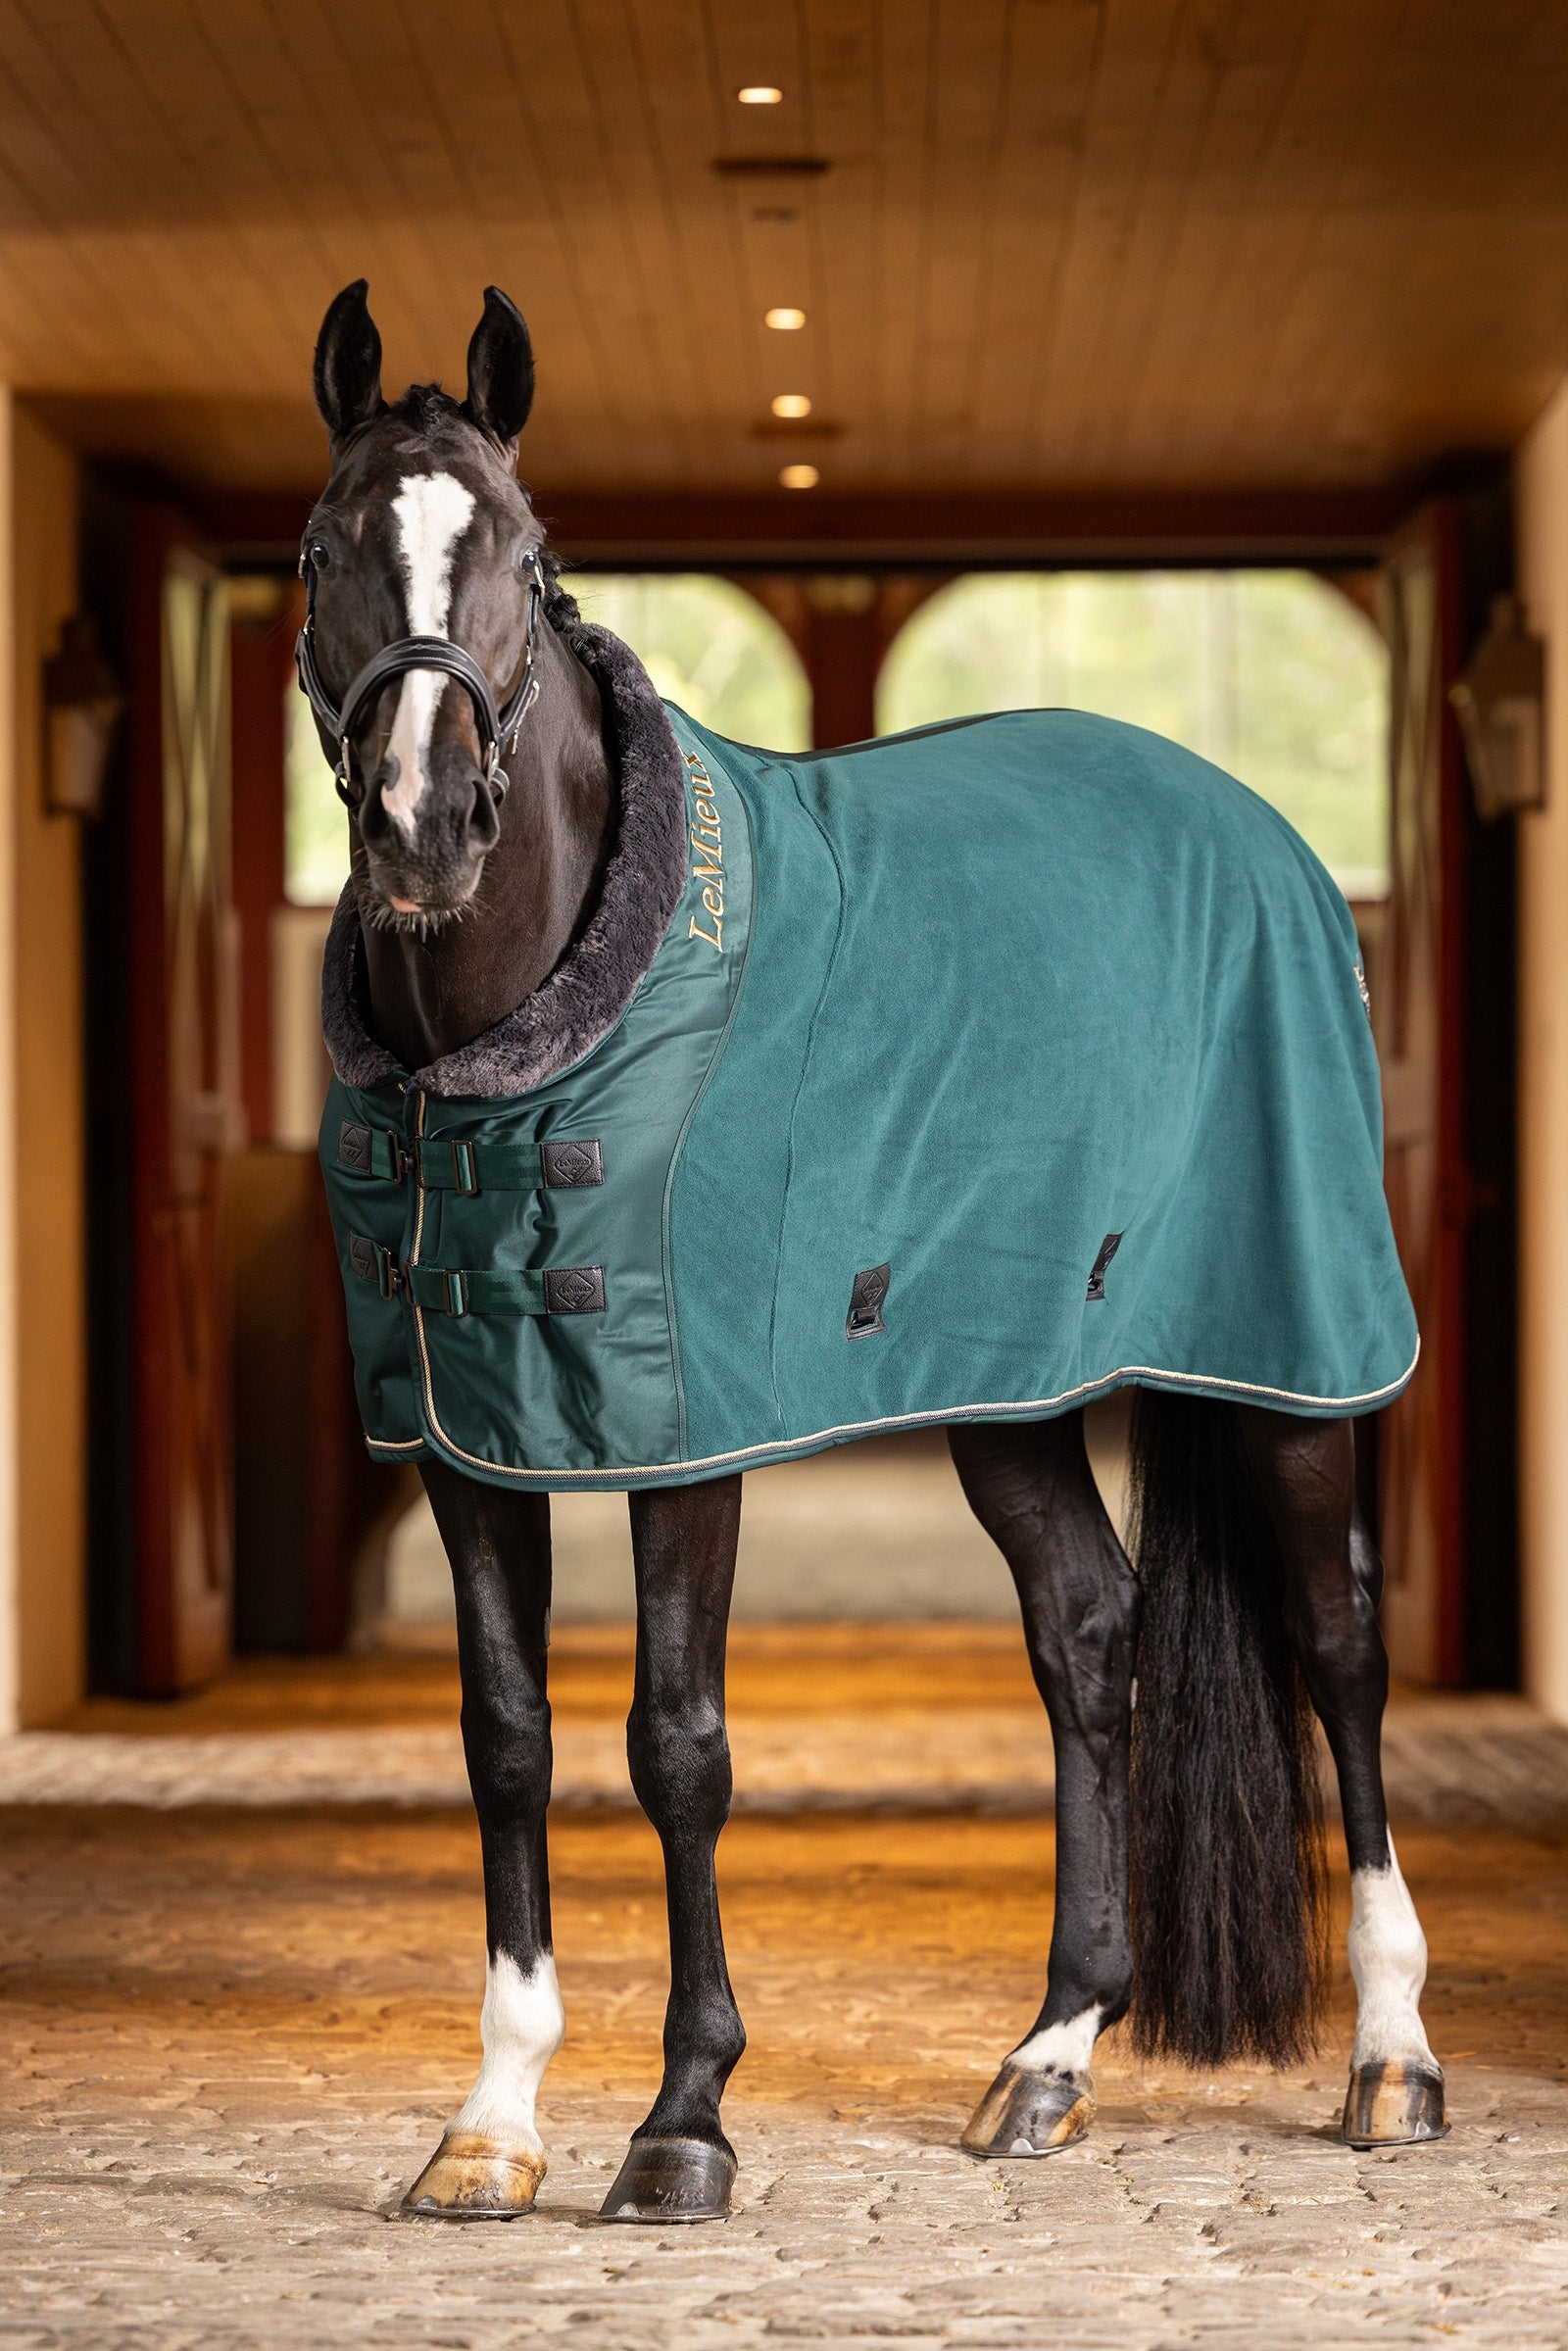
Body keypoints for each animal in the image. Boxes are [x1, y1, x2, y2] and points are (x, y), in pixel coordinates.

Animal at [299, 278, 1445, 2223]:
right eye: (321, 551)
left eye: (527, 558)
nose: (421, 827)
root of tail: (1260, 834)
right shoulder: (459, 1432)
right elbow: (507, 1733)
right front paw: (493, 2118)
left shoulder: (686, 1434)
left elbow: (675, 1741)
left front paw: (684, 2118)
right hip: (1010, 1384)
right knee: (1087, 1628)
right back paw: (1052, 2053)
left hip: (1290, 1348)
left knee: (1340, 1641)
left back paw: (1393, 2053)